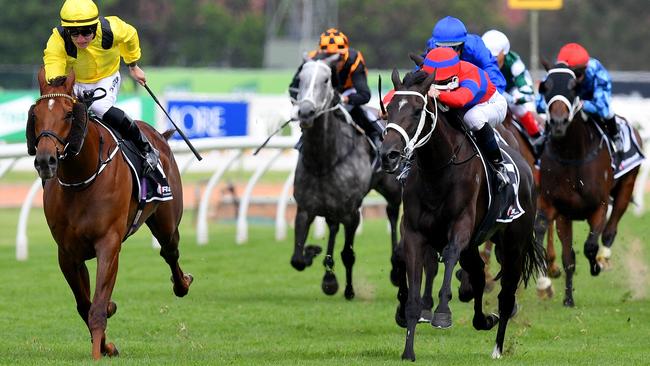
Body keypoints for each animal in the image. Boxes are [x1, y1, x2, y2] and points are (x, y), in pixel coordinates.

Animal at [27, 69, 192, 360]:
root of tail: (158, 135)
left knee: (170, 251)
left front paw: (97, 352)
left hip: (167, 220)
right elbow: (85, 305)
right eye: (36, 114)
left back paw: (182, 283)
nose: (45, 161)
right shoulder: (67, 253)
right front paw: (107, 344)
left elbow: (97, 307)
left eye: (68, 114)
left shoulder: (108, 244)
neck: (81, 177)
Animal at [288, 55, 400, 300]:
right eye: (300, 78)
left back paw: (397, 267)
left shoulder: (352, 213)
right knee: (332, 226)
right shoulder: (305, 209)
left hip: (391, 189)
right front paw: (315, 254)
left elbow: (348, 254)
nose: (306, 112)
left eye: (326, 80)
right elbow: (297, 259)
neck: (323, 161)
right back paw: (328, 273)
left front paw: (349, 290)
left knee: (393, 213)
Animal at [380, 68, 540, 360]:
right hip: (478, 245)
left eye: (418, 110)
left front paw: (442, 313)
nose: (389, 155)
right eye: (389, 110)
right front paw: (408, 350)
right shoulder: (414, 234)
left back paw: (498, 348)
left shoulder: (460, 228)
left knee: (506, 295)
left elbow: (450, 254)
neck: (438, 170)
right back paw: (483, 320)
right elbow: (413, 294)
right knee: (477, 274)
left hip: (514, 243)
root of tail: (526, 167)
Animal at [528, 65, 640, 306]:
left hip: (627, 186)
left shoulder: (599, 207)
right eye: (546, 86)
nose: (558, 122)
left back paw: (604, 258)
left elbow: (590, 245)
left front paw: (595, 266)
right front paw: (568, 299)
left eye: (573, 87)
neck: (573, 156)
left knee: (610, 230)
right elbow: (567, 256)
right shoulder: (560, 209)